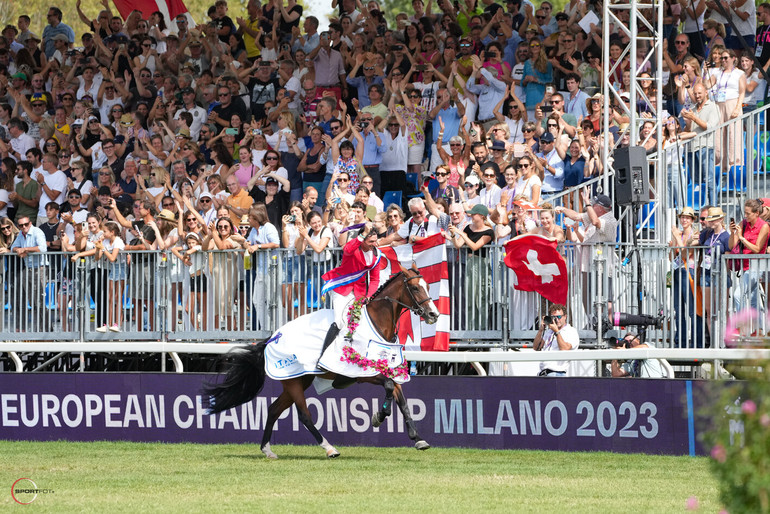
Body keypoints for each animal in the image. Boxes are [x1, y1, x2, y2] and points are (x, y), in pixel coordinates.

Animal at [201, 266, 438, 458]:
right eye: (415, 288)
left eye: (427, 286)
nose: (433, 314)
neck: (378, 324)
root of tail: (272, 338)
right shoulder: (360, 373)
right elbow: (389, 387)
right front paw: (378, 417)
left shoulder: (386, 370)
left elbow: (401, 399)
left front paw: (417, 438)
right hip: (293, 382)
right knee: (304, 415)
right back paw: (330, 448)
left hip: (299, 380)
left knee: (274, 409)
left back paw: (267, 450)